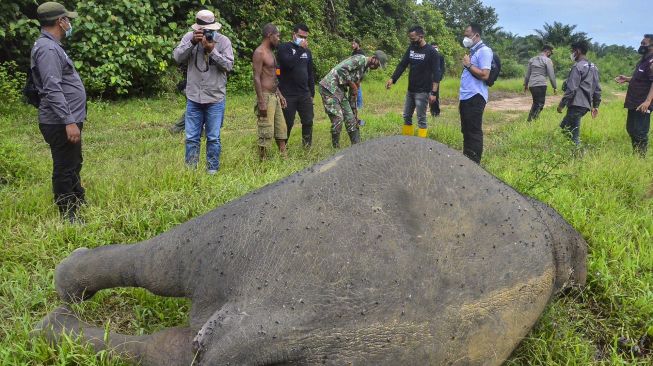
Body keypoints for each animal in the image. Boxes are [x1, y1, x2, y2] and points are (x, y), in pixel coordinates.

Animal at [35, 136, 584, 364]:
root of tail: (263, 319)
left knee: (165, 315)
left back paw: (54, 316)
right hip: (257, 223)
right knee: (165, 266)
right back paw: (62, 295)